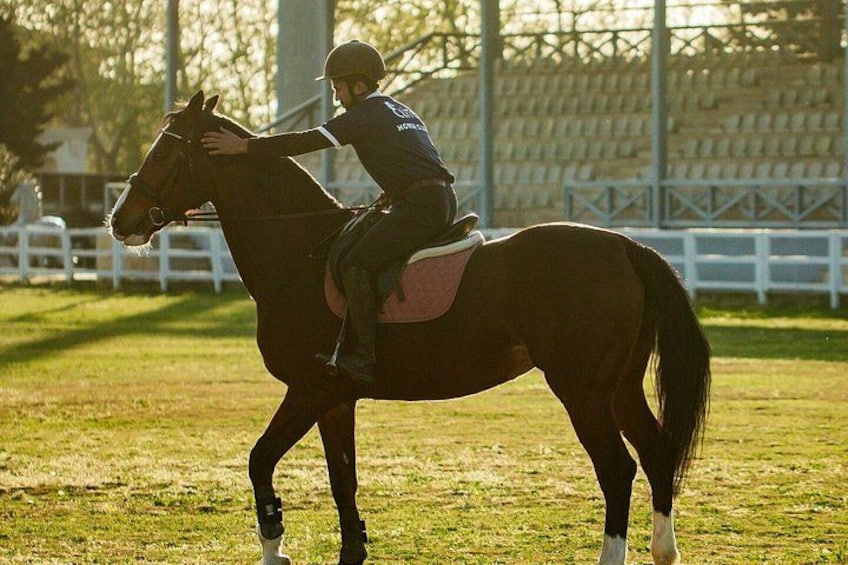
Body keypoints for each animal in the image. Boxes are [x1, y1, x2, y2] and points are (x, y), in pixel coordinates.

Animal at [108, 91, 710, 565]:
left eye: (167, 152)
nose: (120, 220)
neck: (300, 253)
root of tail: (625, 247)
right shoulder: (335, 399)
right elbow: (343, 479)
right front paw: (352, 549)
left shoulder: (309, 388)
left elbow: (260, 460)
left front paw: (275, 545)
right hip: (619, 388)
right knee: (655, 453)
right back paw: (664, 551)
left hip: (582, 392)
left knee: (617, 468)